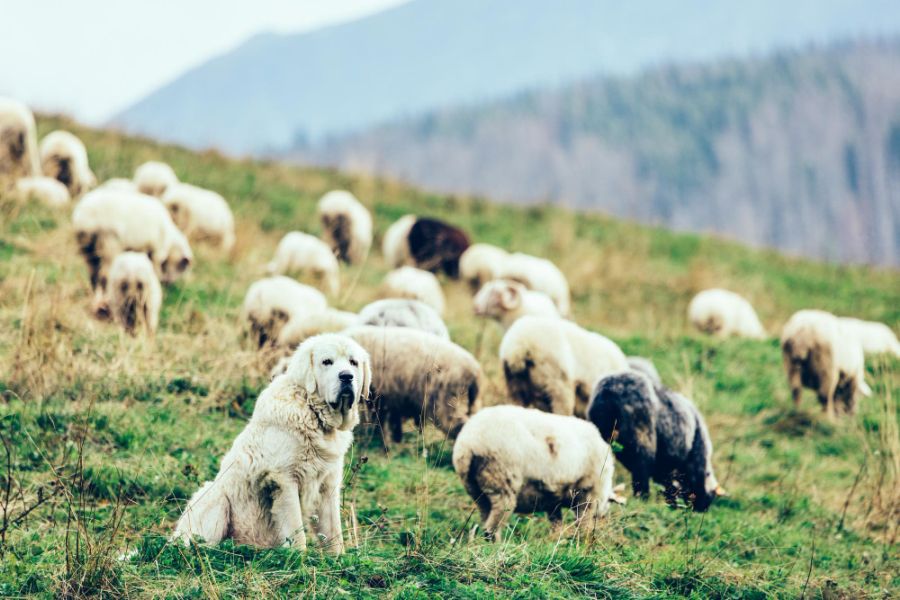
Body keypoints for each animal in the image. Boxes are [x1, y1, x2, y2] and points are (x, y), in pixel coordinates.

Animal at [174, 336, 370, 552]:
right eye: (327, 361)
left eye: (353, 362)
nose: (346, 376)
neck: (313, 412)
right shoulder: (284, 480)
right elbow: (297, 533)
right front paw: (299, 559)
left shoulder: (327, 486)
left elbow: (334, 534)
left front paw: (338, 559)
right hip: (215, 497)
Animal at [344, 326, 486, 442]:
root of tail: (475, 370)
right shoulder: (392, 396)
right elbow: (393, 421)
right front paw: (396, 439)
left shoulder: (382, 396)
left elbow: (383, 422)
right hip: (471, 403)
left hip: (446, 401)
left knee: (460, 425)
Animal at [454, 406, 616, 540]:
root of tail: (470, 442)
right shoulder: (586, 493)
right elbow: (583, 523)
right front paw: (583, 541)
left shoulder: (553, 500)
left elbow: (556, 521)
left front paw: (557, 539)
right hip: (502, 481)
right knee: (492, 528)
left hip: (476, 489)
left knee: (485, 516)